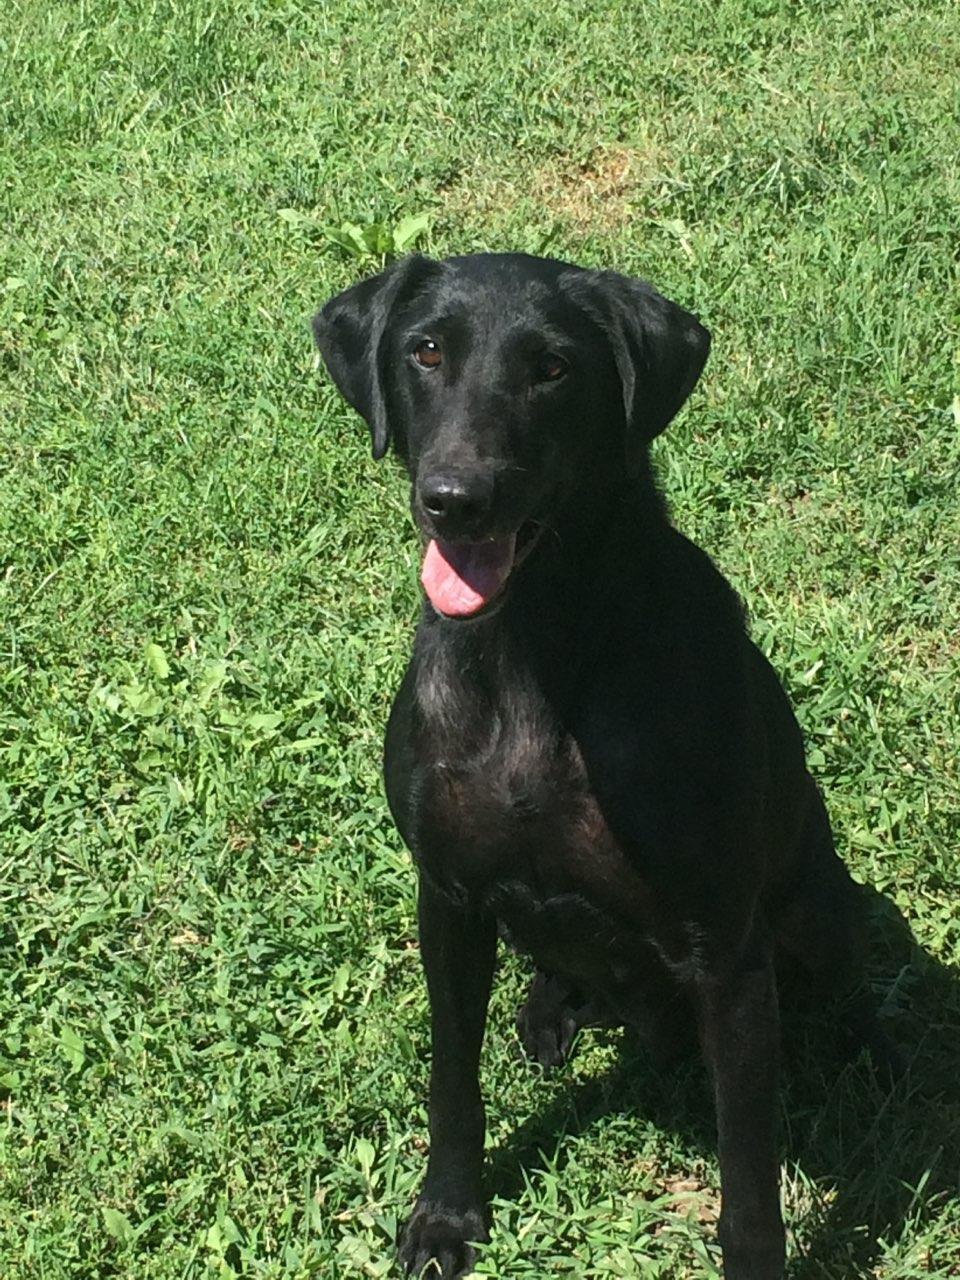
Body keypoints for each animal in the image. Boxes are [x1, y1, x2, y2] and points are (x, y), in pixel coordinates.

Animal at [316, 254, 885, 1274]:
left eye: (553, 369)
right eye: (426, 351)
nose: (455, 499)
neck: (535, 652)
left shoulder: (727, 954)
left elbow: (748, 1179)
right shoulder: (448, 899)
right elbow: (452, 1079)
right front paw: (447, 1215)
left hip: (818, 905)